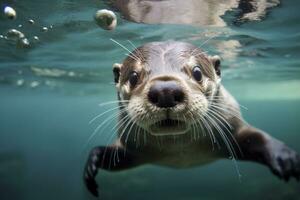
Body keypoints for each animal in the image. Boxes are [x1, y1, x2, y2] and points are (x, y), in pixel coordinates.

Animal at [84, 41, 300, 197]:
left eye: (197, 72)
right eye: (134, 76)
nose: (165, 91)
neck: (181, 152)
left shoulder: (233, 131)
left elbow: (257, 138)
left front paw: (285, 158)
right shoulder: (135, 150)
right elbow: (116, 157)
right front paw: (92, 164)